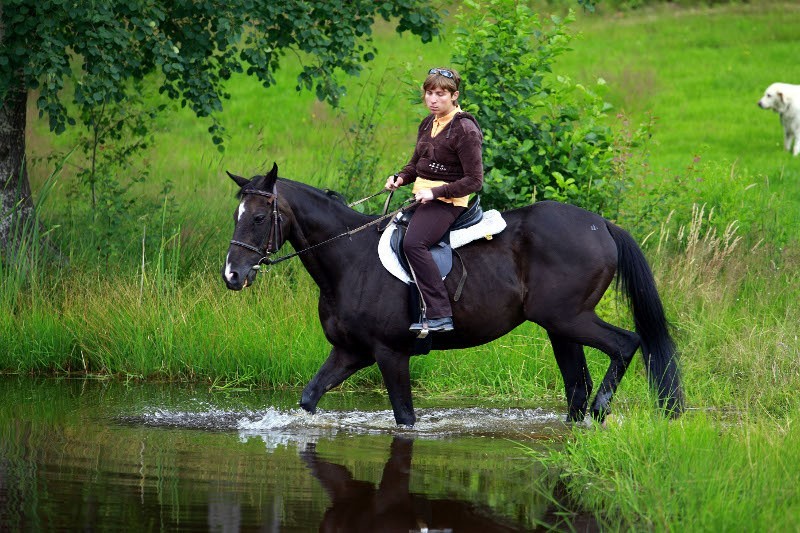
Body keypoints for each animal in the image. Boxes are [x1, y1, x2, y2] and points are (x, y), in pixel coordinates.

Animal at [222, 164, 684, 426]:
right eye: (236, 215)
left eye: (259, 217)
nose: (232, 275)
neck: (349, 260)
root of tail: (601, 224)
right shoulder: (350, 352)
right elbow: (309, 397)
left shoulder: (390, 354)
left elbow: (405, 418)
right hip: (559, 327)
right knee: (577, 386)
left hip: (570, 318)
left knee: (626, 344)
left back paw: (603, 410)